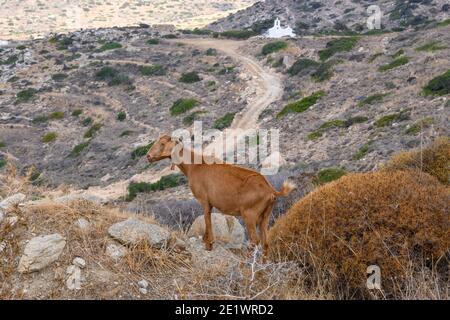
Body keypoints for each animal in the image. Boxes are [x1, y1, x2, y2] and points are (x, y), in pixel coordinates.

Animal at [148, 134, 296, 254]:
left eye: (162, 143)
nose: (148, 156)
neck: (195, 166)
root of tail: (270, 190)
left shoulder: (205, 201)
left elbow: (207, 219)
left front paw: (208, 244)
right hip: (265, 216)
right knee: (265, 243)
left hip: (250, 215)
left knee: (255, 241)